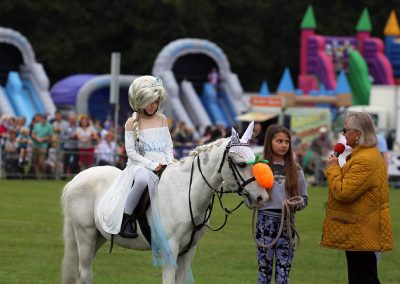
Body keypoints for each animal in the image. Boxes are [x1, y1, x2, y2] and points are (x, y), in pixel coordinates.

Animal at [61, 125, 268, 284]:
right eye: (241, 164)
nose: (262, 197)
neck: (185, 194)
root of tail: (75, 179)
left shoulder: (188, 252)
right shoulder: (170, 251)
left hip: (98, 237)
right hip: (85, 235)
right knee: (85, 274)